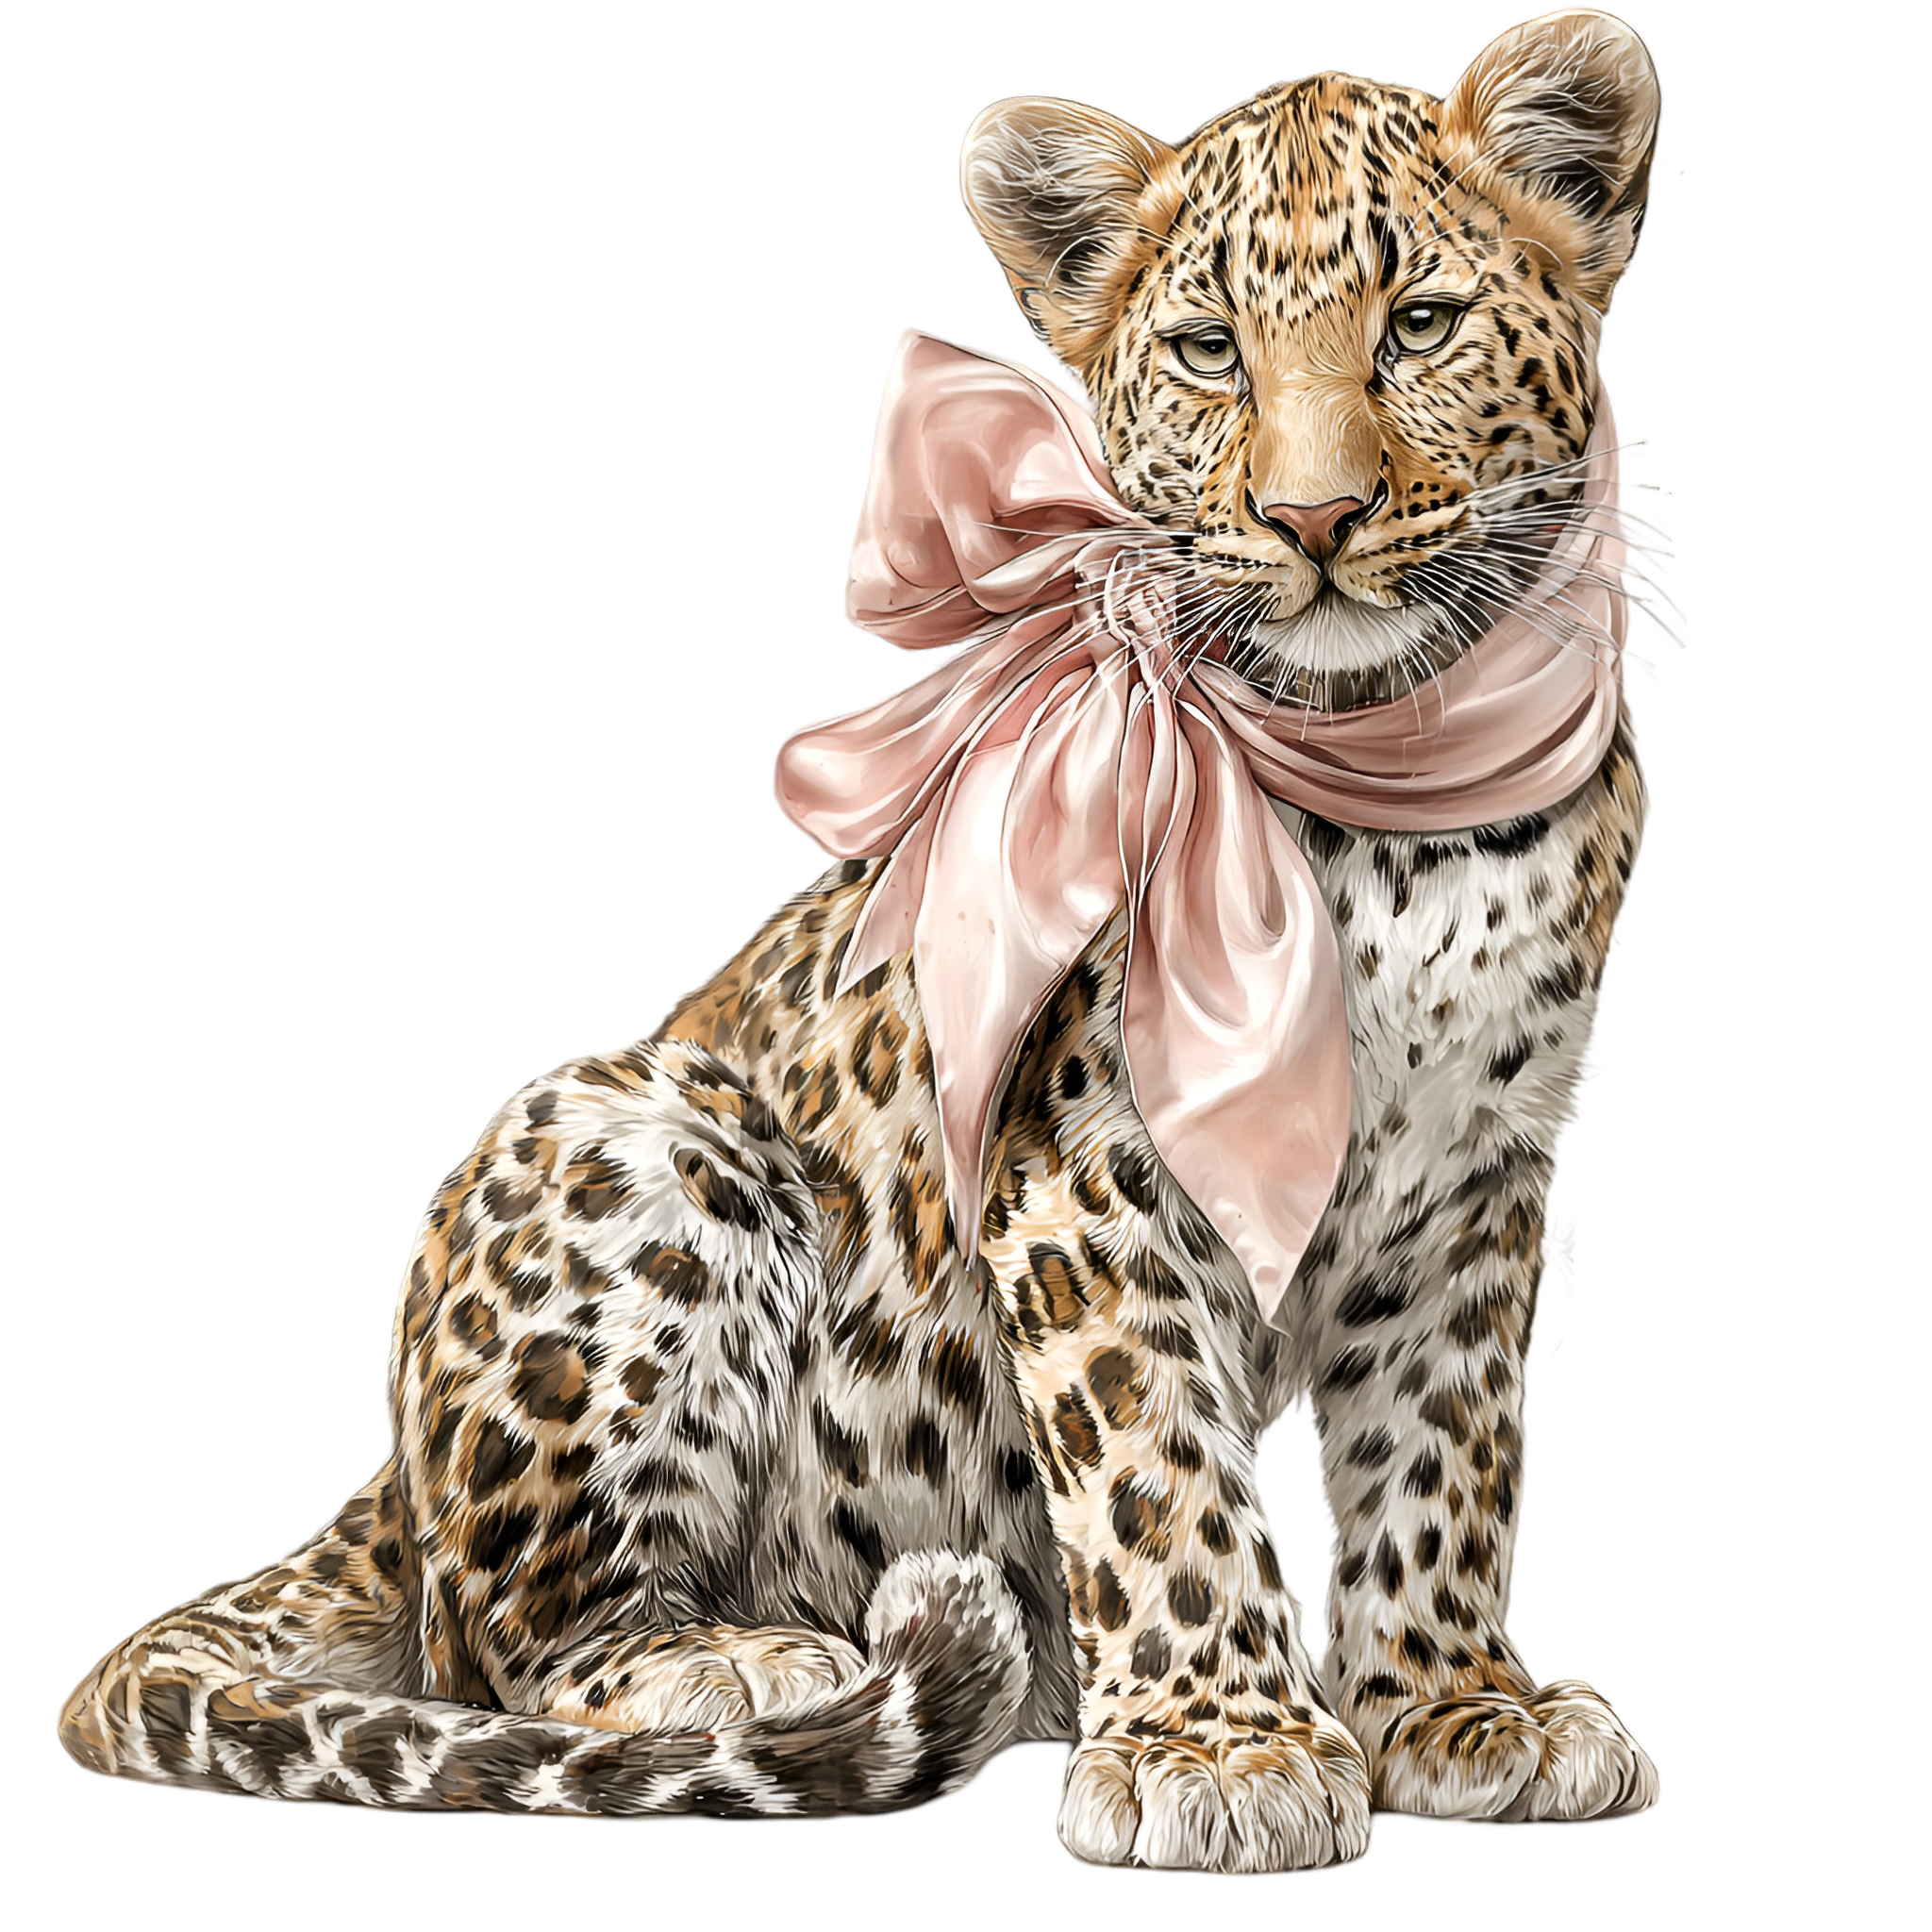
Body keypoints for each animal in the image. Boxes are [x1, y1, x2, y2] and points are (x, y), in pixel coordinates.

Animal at [58, 6, 1676, 1875]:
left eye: (1419, 324)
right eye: (1207, 351)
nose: (1312, 520)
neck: (1379, 781)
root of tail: (385, 1482)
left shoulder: (1485, 1182)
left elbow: (1445, 1457)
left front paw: (1453, 1706)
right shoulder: (1087, 1175)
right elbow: (1160, 1465)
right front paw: (1219, 1748)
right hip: (644, 1135)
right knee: (510, 1647)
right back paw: (740, 1661)